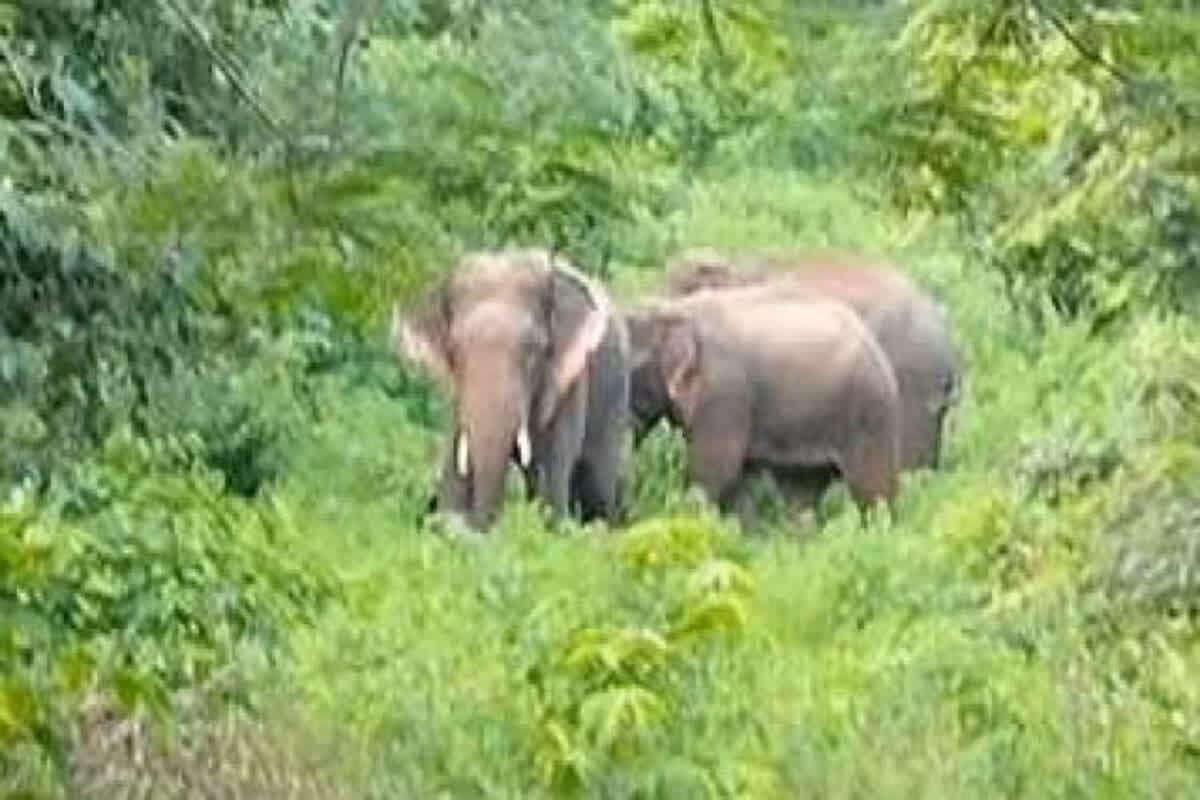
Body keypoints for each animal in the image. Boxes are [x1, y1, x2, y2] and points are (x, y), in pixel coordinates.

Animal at [392, 247, 632, 531]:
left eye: (533, 351)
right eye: (454, 351)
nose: (482, 528)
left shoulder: (570, 377)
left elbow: (552, 462)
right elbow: (455, 456)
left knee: (596, 480)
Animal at [625, 284, 903, 521]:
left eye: (631, 369)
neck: (675, 308)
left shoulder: (724, 390)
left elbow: (716, 468)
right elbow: (739, 477)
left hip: (869, 413)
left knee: (872, 493)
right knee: (802, 489)